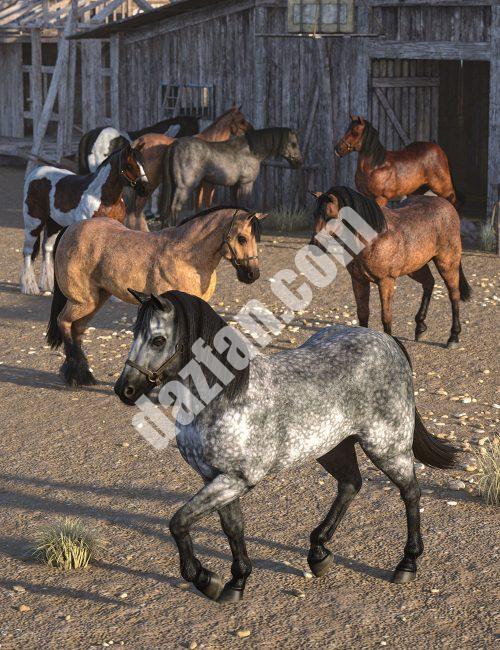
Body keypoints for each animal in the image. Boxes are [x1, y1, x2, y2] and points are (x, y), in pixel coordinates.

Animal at [20, 142, 149, 296]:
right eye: (129, 165)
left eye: (142, 163)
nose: (145, 189)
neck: (103, 197)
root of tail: (35, 173)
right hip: (33, 222)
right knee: (28, 252)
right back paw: (29, 287)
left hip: (54, 225)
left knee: (47, 249)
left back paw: (48, 285)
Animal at [46, 207, 265, 387]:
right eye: (242, 238)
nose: (253, 275)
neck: (186, 257)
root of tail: (70, 229)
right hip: (83, 302)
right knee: (63, 322)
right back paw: (76, 376)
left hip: (95, 301)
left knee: (76, 330)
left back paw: (81, 375)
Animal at [114, 289, 457, 603]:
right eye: (134, 334)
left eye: (158, 340)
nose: (124, 390)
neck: (224, 398)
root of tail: (388, 341)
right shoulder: (215, 477)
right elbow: (232, 528)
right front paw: (236, 582)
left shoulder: (235, 479)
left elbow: (178, 522)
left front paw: (204, 578)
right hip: (332, 447)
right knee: (350, 484)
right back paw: (318, 553)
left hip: (386, 446)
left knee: (410, 493)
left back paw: (407, 564)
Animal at [159, 127, 303, 226]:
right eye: (293, 143)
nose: (300, 163)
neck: (250, 152)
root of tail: (174, 146)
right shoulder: (246, 184)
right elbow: (244, 205)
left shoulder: (234, 186)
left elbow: (236, 207)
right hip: (184, 187)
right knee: (175, 208)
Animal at [309, 187, 471, 347]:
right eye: (314, 214)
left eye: (330, 216)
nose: (314, 246)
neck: (373, 238)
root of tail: (448, 206)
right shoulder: (358, 280)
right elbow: (363, 313)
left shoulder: (386, 281)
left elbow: (386, 316)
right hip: (416, 266)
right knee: (429, 283)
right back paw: (420, 327)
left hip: (447, 263)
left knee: (454, 294)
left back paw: (453, 337)